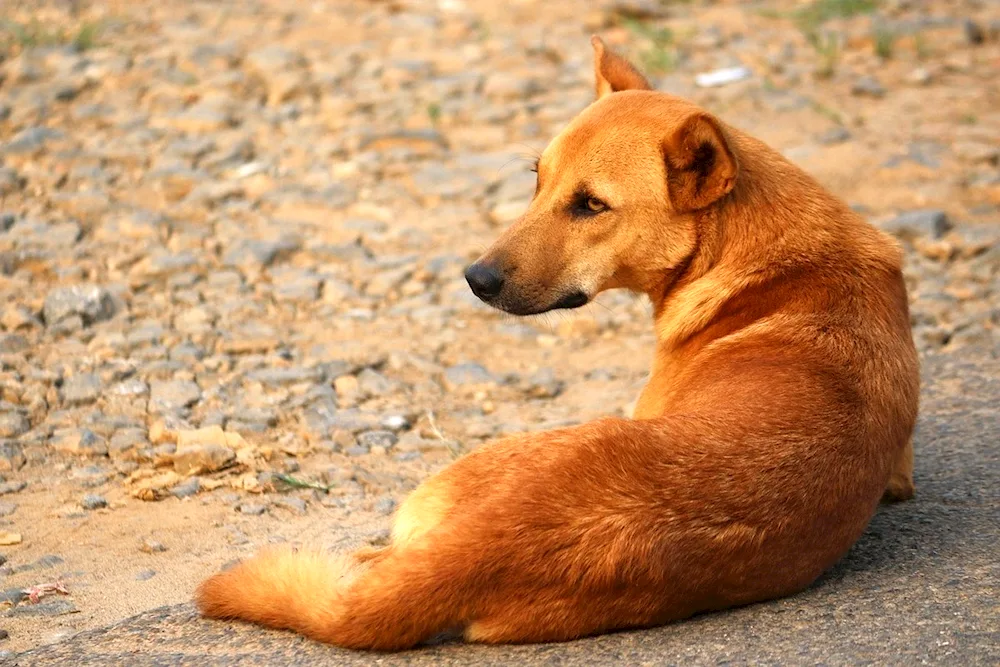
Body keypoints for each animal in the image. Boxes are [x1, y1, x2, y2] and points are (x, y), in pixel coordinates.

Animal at [195, 37, 920, 652]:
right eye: (535, 179)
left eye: (591, 205)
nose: (476, 278)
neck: (770, 263)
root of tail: (482, 547)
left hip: (452, 479)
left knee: (373, 559)